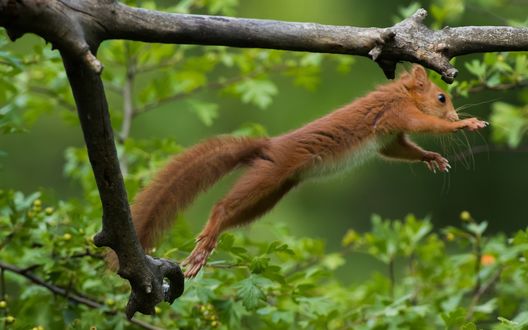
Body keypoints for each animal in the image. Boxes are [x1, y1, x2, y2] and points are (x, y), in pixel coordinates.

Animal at [128, 65, 486, 278]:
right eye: (441, 97)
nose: (455, 116)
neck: (400, 93)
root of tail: (268, 145)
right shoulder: (396, 114)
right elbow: (425, 124)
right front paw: (464, 124)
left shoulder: (390, 138)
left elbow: (399, 150)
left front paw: (431, 156)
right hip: (269, 176)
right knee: (222, 206)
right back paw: (208, 237)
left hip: (272, 193)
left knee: (235, 216)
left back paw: (205, 247)